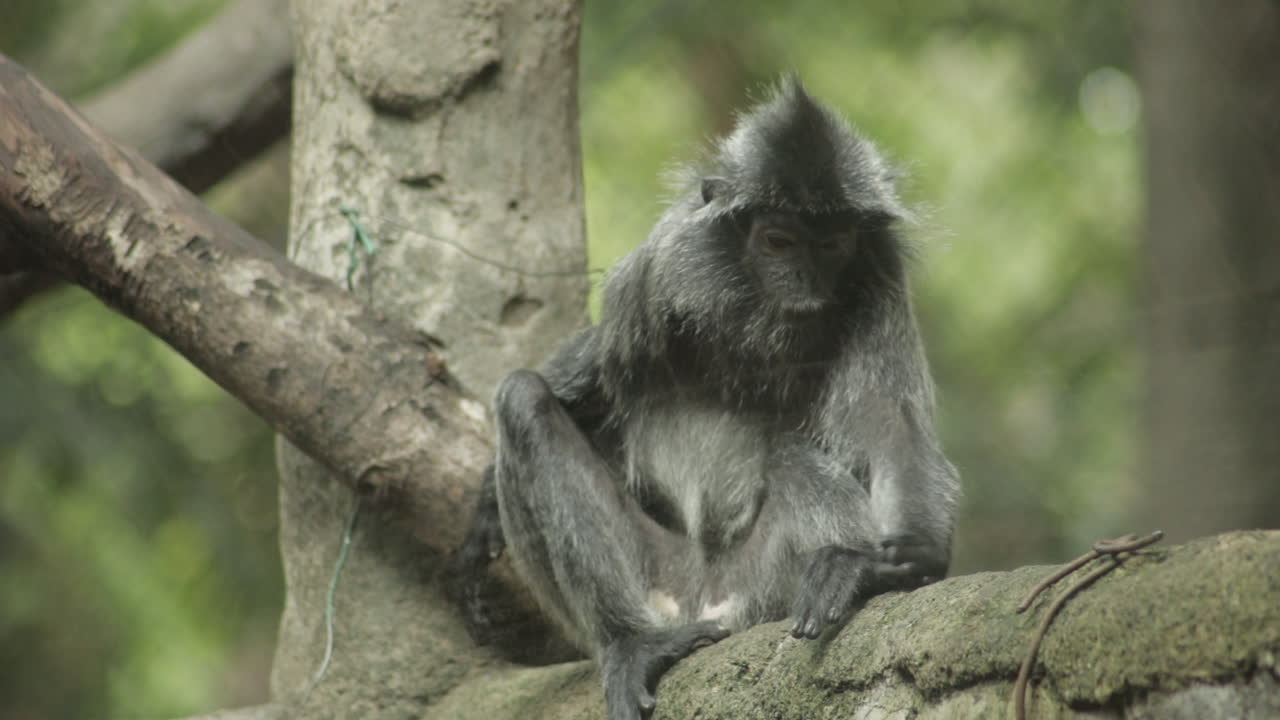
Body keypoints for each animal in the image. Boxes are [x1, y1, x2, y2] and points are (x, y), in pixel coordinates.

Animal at [454, 78, 960, 720]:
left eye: (833, 245)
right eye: (778, 242)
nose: (806, 284)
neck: (759, 325)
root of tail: (704, 599)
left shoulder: (878, 273)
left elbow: (889, 424)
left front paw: (899, 562)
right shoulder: (664, 266)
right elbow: (595, 379)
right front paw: (482, 503)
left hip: (762, 585)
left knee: (792, 456)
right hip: (656, 576)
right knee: (523, 399)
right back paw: (633, 641)